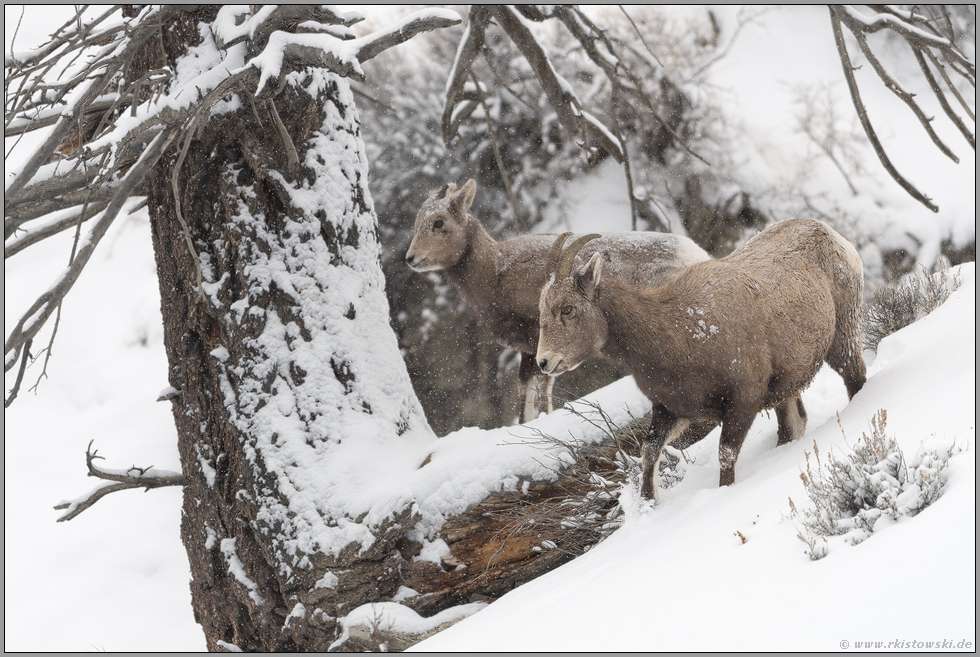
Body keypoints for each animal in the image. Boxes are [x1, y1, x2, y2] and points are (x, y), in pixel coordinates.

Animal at [406, 179, 712, 422]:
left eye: (438, 222)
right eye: (417, 222)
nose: (410, 258)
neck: (495, 273)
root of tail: (698, 256)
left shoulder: (542, 348)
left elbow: (542, 394)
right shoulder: (530, 353)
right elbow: (525, 397)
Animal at [540, 218, 868, 500]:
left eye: (567, 308)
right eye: (542, 309)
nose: (544, 362)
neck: (677, 334)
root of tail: (830, 233)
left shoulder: (743, 398)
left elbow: (726, 454)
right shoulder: (670, 409)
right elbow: (649, 451)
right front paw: (649, 502)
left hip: (843, 336)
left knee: (856, 379)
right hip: (786, 387)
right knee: (793, 425)